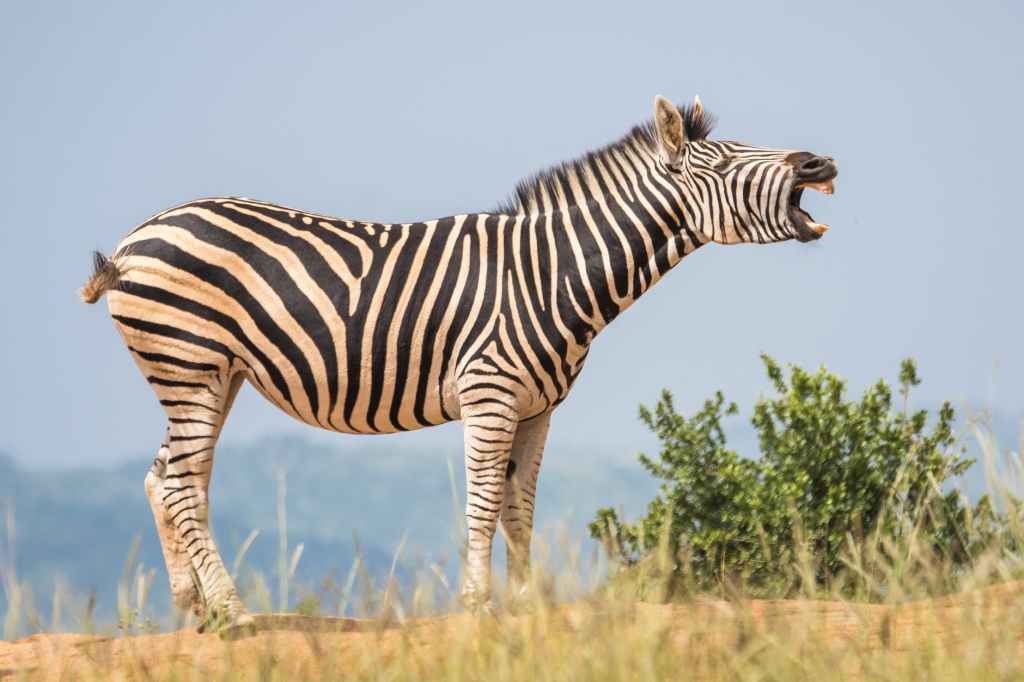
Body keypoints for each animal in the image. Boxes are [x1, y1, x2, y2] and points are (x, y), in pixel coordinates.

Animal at [80, 95, 837, 630]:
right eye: (726, 163)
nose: (820, 165)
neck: (552, 274)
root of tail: (135, 237)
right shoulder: (489, 394)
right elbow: (480, 504)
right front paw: (478, 604)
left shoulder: (537, 408)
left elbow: (519, 507)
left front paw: (527, 604)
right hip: (189, 361)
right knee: (181, 483)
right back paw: (235, 614)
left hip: (213, 372)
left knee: (166, 478)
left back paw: (195, 608)